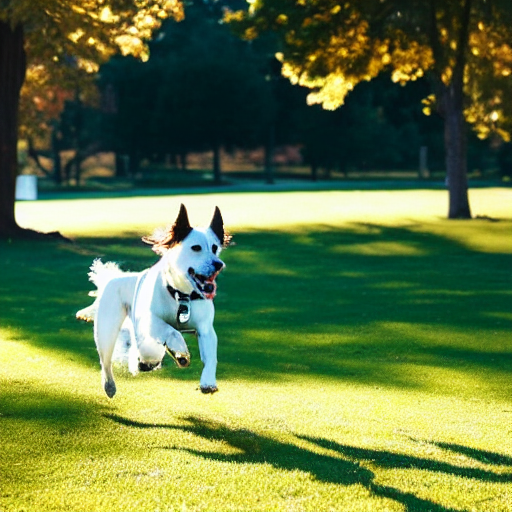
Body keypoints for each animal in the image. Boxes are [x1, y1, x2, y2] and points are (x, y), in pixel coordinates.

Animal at [76, 206, 230, 398]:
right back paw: (110, 385)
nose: (219, 264)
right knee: (106, 361)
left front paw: (208, 382)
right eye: (196, 248)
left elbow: (210, 357)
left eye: (215, 248)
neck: (180, 295)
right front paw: (179, 347)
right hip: (106, 331)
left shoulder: (205, 329)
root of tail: (115, 279)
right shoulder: (148, 320)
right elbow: (170, 330)